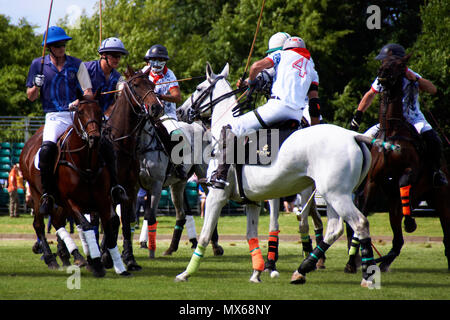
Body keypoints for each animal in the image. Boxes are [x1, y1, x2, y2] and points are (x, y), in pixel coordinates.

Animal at [20, 96, 125, 276]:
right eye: (80, 112)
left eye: (99, 111)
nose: (95, 137)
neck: (87, 163)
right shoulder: (71, 200)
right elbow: (86, 225)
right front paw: (97, 262)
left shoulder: (103, 199)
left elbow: (109, 222)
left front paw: (108, 260)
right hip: (36, 194)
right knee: (39, 224)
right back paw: (51, 259)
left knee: (57, 221)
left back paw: (74, 256)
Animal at [103, 65, 163, 270]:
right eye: (136, 85)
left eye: (152, 84)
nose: (156, 107)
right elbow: (112, 221)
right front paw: (107, 256)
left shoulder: (130, 189)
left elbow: (126, 223)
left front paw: (129, 258)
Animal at [174, 62, 378, 288]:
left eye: (199, 88)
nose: (180, 111)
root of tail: (354, 136)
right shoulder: (252, 201)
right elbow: (251, 235)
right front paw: (256, 273)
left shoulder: (216, 196)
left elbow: (204, 235)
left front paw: (186, 273)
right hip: (334, 194)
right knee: (334, 229)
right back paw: (302, 269)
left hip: (336, 195)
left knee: (359, 223)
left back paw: (366, 275)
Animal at [346, 55, 448, 272]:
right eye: (383, 63)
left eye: (399, 65)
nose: (382, 74)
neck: (391, 131)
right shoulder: (373, 180)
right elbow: (363, 213)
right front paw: (352, 261)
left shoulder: (411, 170)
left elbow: (403, 182)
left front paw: (410, 222)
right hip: (394, 206)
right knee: (397, 241)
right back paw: (382, 261)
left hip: (441, 197)